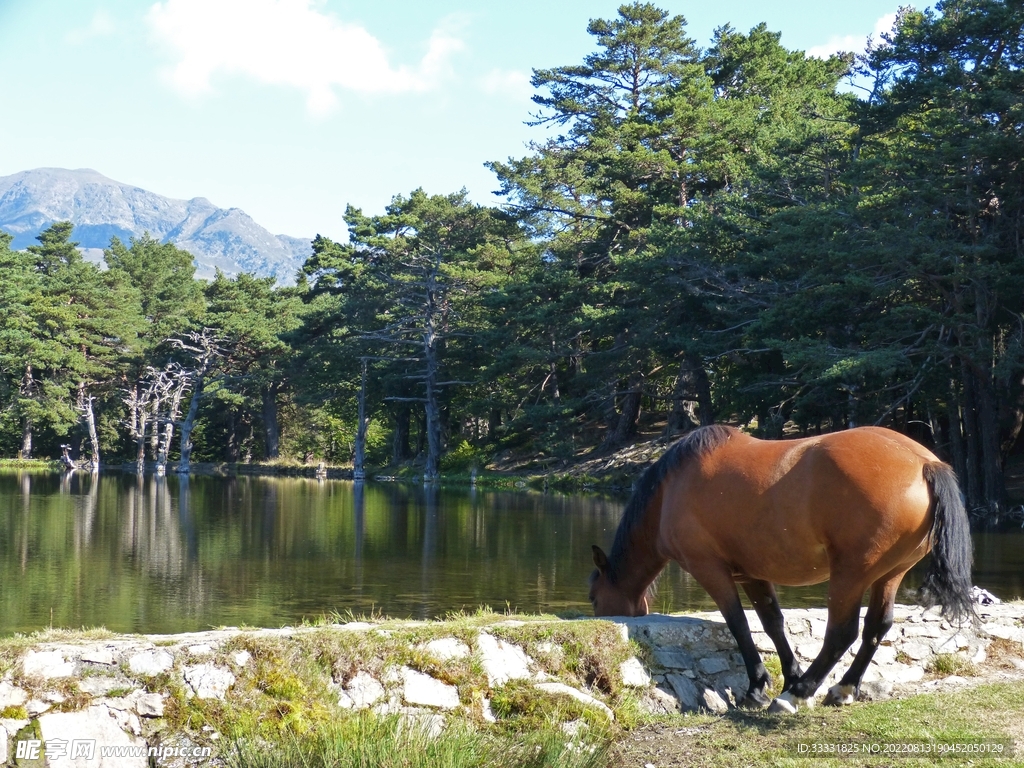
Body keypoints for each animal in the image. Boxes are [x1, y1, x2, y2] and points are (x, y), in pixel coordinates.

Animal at [589, 424, 975, 713]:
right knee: (876, 628)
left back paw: (797, 695)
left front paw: (761, 688)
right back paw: (841, 689)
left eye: (594, 598)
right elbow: (772, 623)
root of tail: (924, 463)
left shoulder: (709, 569)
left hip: (851, 574)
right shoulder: (752, 574)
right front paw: (786, 676)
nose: (596, 612)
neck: (673, 488)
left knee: (842, 633)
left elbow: (738, 623)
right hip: (889, 575)